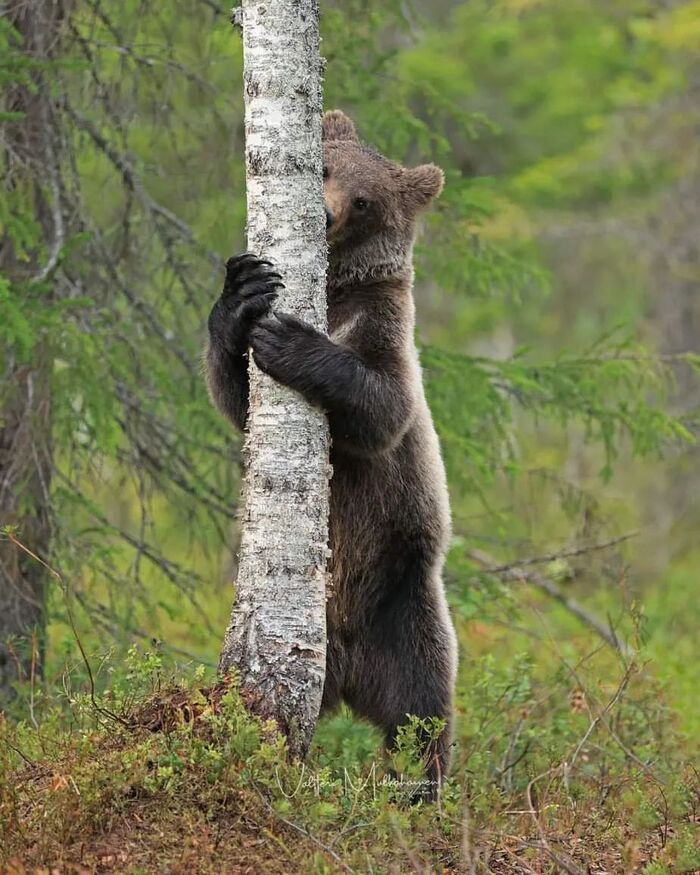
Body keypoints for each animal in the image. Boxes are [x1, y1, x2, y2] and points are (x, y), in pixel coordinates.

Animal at [206, 109, 460, 792]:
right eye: (320, 167)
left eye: (366, 199)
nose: (323, 213)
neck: (335, 291)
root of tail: (344, 678)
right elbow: (235, 396)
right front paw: (243, 293)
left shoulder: (383, 326)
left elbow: (383, 409)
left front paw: (292, 341)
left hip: (404, 606)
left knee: (422, 709)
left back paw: (419, 785)